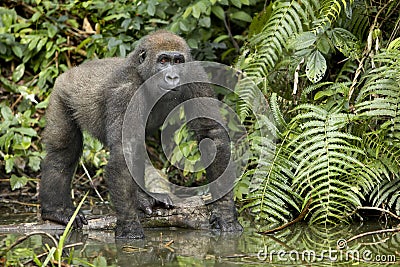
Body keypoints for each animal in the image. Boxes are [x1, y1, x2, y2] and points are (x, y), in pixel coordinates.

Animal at [39, 29, 244, 239]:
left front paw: (225, 212)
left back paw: (142, 200)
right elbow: (125, 150)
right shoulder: (126, 90)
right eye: (163, 60)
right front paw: (129, 225)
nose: (172, 77)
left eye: (178, 61)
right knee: (63, 152)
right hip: (61, 93)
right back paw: (57, 210)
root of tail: (73, 71)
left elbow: (211, 133)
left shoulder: (195, 74)